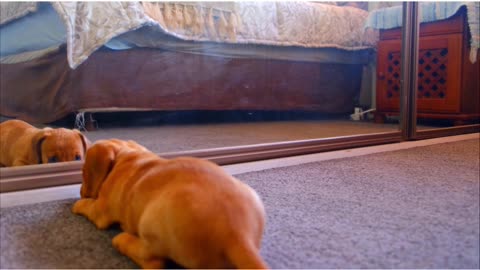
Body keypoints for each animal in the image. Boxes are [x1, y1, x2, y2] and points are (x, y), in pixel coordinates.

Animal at [72, 139, 266, 268]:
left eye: (83, 171)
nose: (80, 191)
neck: (126, 156)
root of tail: (238, 235)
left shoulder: (100, 211)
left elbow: (88, 206)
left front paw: (78, 204)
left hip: (150, 225)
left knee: (153, 261)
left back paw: (122, 240)